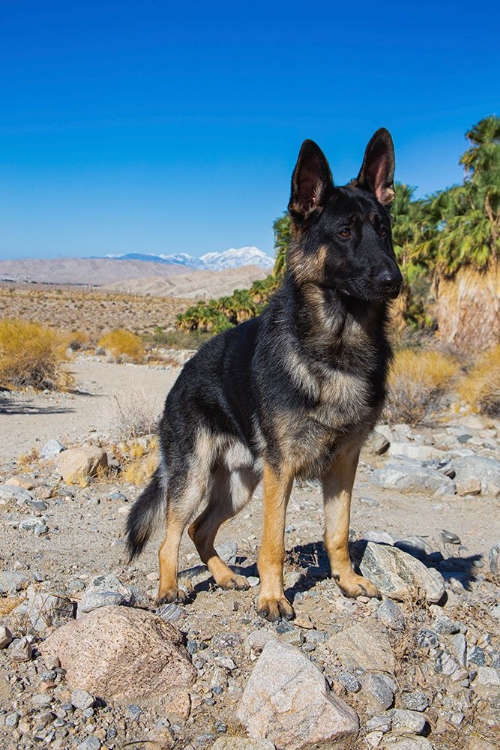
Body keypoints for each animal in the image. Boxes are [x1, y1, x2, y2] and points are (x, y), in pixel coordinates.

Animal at [126, 129, 402, 624]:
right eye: (345, 232)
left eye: (383, 229)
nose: (395, 280)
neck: (335, 346)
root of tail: (180, 378)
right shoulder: (282, 470)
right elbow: (272, 542)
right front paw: (273, 598)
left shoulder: (345, 464)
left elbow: (338, 532)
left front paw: (347, 581)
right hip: (195, 479)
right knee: (171, 534)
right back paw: (169, 588)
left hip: (239, 486)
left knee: (200, 529)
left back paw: (224, 577)